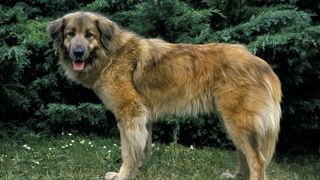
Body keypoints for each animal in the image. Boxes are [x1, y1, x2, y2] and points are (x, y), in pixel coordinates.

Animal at [47, 11, 280, 179]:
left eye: (89, 34)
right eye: (70, 34)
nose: (78, 53)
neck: (111, 54)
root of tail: (261, 64)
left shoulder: (130, 113)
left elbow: (127, 150)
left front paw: (123, 175)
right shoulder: (143, 117)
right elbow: (143, 148)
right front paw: (139, 171)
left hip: (237, 120)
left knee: (257, 161)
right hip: (231, 121)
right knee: (245, 154)